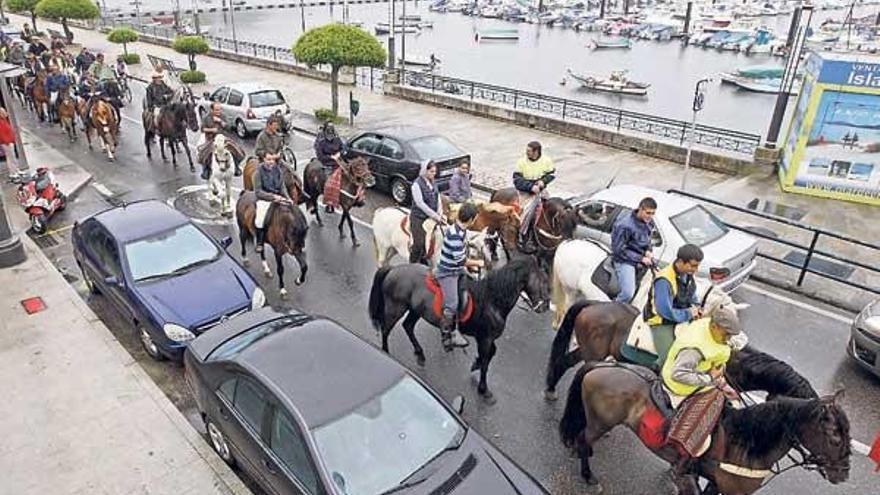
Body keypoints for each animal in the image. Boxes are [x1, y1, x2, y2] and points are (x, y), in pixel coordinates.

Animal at [370, 256, 552, 404]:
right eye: (544, 280)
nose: (544, 306)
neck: (491, 299)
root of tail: (393, 269)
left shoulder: (486, 338)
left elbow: (491, 354)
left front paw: (475, 365)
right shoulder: (485, 338)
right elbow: (486, 361)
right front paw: (484, 390)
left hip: (415, 310)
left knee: (407, 326)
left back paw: (420, 354)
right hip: (395, 308)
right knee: (386, 330)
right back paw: (386, 351)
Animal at [548, 284, 744, 402]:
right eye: (725, 311)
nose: (739, 340)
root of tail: (593, 305)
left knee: (564, 362)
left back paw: (550, 389)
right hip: (593, 354)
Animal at [556, 362, 852, 494]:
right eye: (835, 437)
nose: (843, 474)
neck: (744, 442)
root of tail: (602, 364)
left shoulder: (717, 483)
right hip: (599, 421)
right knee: (583, 438)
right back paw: (588, 474)